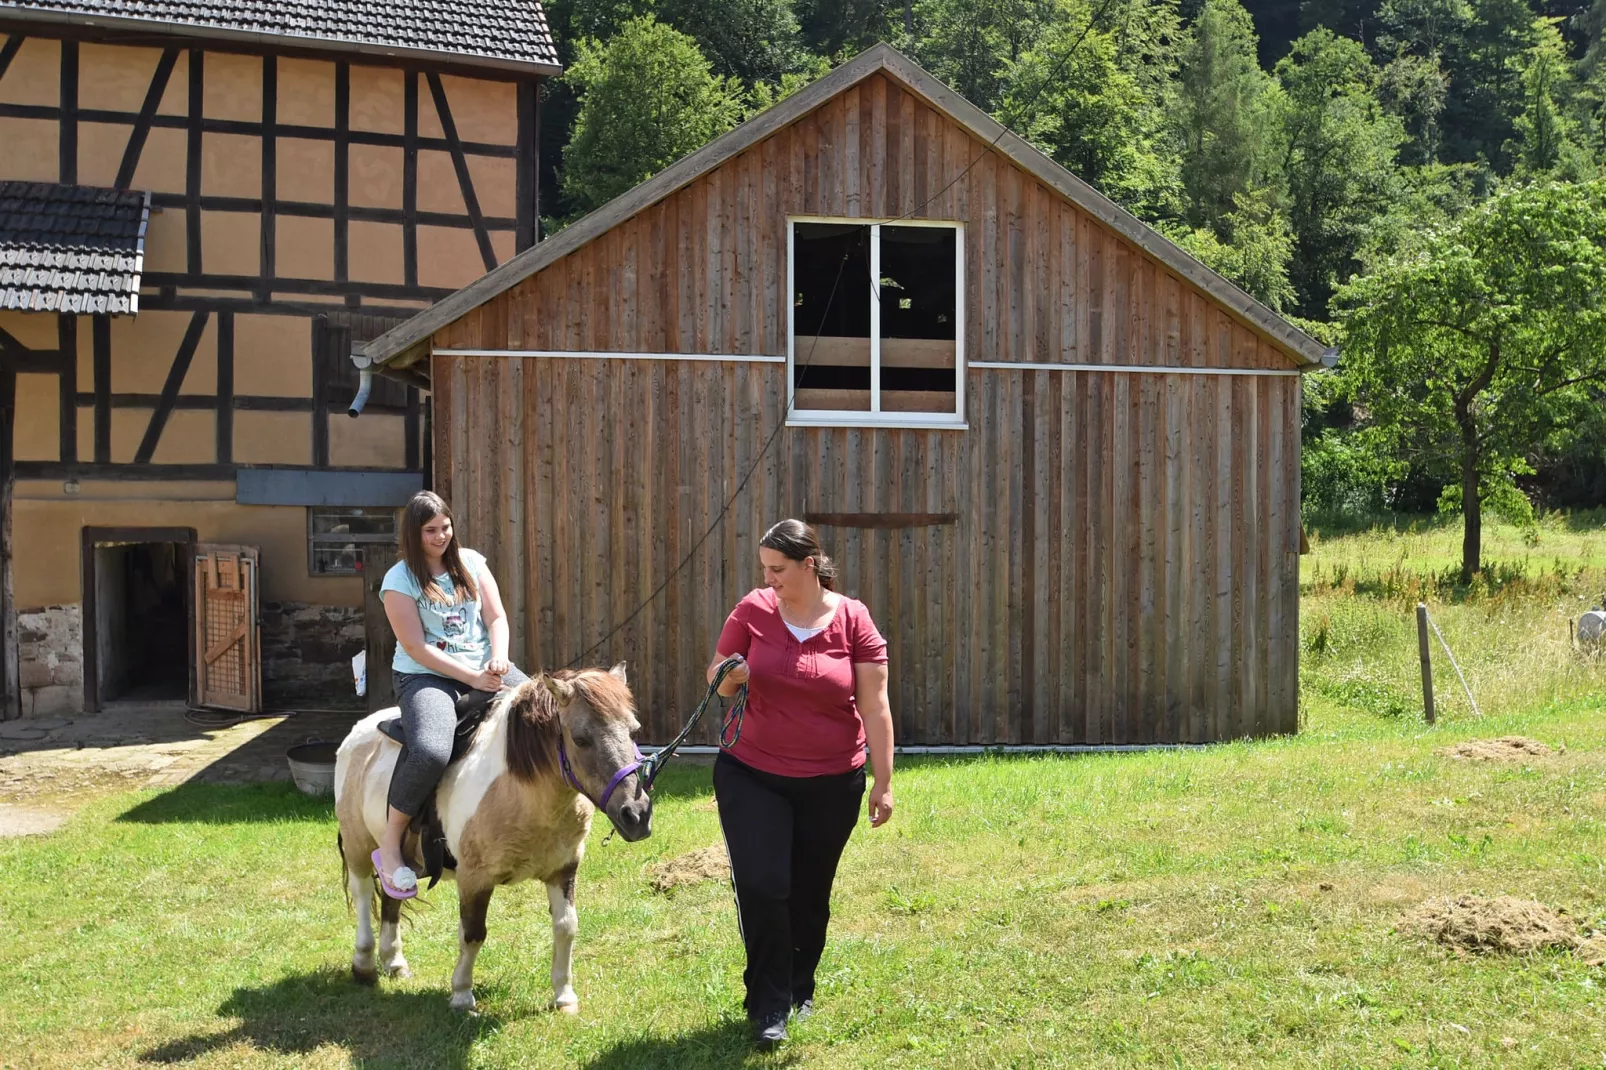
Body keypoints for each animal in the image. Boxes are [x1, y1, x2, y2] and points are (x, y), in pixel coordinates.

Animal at [332, 661, 652, 1015]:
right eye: (581, 739)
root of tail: (357, 734)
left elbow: (566, 927)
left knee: (392, 900)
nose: (636, 814)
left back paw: (394, 963)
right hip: (359, 846)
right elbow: (473, 934)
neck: (521, 792)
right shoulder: (475, 879)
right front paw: (461, 995)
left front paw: (564, 996)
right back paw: (364, 963)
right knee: (363, 895)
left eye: (634, 730)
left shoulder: (564, 869)